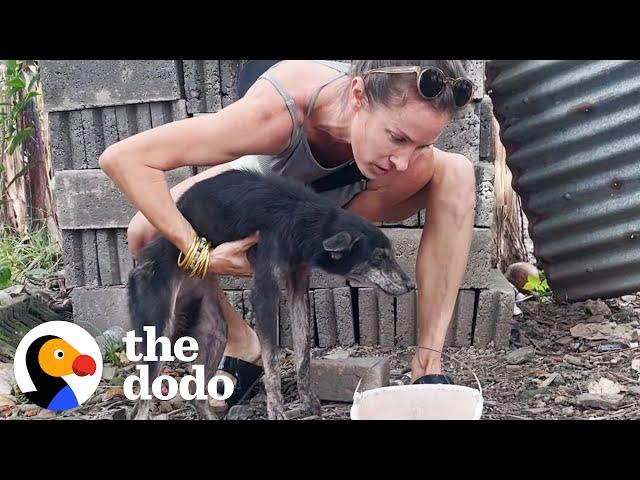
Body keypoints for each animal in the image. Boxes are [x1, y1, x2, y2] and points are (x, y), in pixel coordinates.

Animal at [127, 171, 416, 418]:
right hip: (157, 338)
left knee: (197, 397)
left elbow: (303, 351)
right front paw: (277, 410)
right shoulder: (264, 293)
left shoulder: (299, 286)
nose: (411, 285)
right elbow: (272, 363)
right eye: (378, 257)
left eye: (390, 254)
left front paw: (308, 402)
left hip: (215, 332)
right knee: (140, 407)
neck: (299, 217)